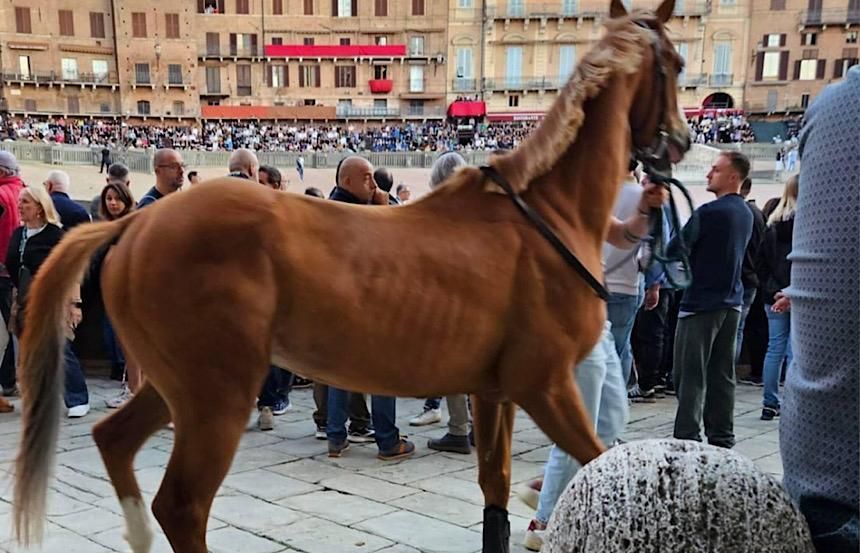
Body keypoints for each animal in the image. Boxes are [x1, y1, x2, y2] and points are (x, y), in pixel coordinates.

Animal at [13, 2, 688, 548]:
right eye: (677, 64)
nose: (680, 140)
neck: (543, 215)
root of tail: (136, 223)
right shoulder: (545, 383)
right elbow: (602, 459)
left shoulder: (495, 391)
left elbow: (495, 489)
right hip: (216, 394)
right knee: (181, 505)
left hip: (178, 382)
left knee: (116, 441)